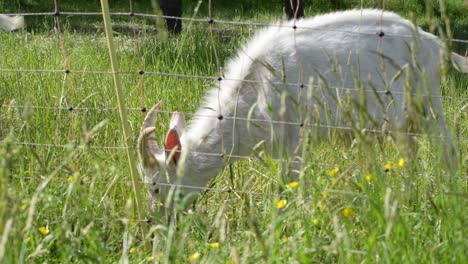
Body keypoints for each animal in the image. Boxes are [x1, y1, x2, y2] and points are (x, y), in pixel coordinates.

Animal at [137, 8, 466, 211]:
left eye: (155, 188)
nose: (154, 222)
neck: (253, 92)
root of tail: (434, 43)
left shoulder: (295, 139)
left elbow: (290, 185)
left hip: (428, 101)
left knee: (447, 147)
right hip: (403, 121)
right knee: (409, 153)